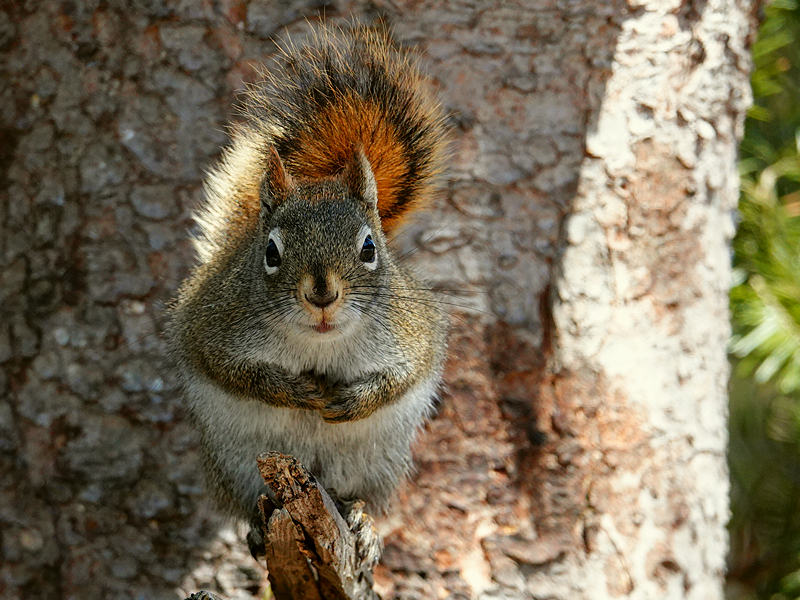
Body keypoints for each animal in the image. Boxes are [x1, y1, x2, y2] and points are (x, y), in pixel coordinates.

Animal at [168, 23, 450, 556]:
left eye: (369, 247)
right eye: (271, 252)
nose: (322, 294)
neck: (319, 343)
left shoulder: (414, 332)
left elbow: (402, 377)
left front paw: (353, 400)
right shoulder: (212, 326)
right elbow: (233, 371)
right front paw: (292, 389)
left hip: (372, 462)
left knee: (354, 494)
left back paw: (360, 521)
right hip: (237, 463)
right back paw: (261, 527)